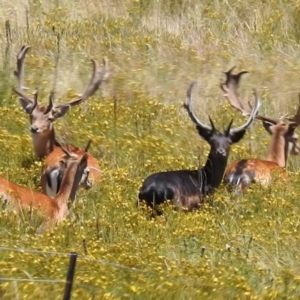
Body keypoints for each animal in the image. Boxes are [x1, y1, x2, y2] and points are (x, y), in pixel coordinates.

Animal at [137, 81, 262, 214]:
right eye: (212, 141)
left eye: (229, 142)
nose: (220, 152)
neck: (208, 181)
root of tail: (150, 189)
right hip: (177, 205)